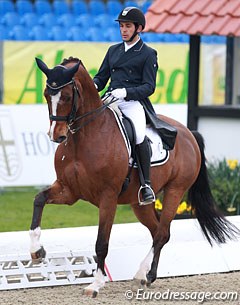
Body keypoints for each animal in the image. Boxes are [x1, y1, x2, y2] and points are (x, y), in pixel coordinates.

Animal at [31, 55, 239, 296]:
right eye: (47, 94)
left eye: (65, 96)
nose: (57, 136)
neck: (83, 138)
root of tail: (188, 133)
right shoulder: (69, 191)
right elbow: (39, 199)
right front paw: (37, 251)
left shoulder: (108, 197)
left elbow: (102, 242)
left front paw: (96, 284)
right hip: (140, 204)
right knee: (157, 230)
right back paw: (148, 274)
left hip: (175, 191)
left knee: (162, 233)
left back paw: (143, 274)